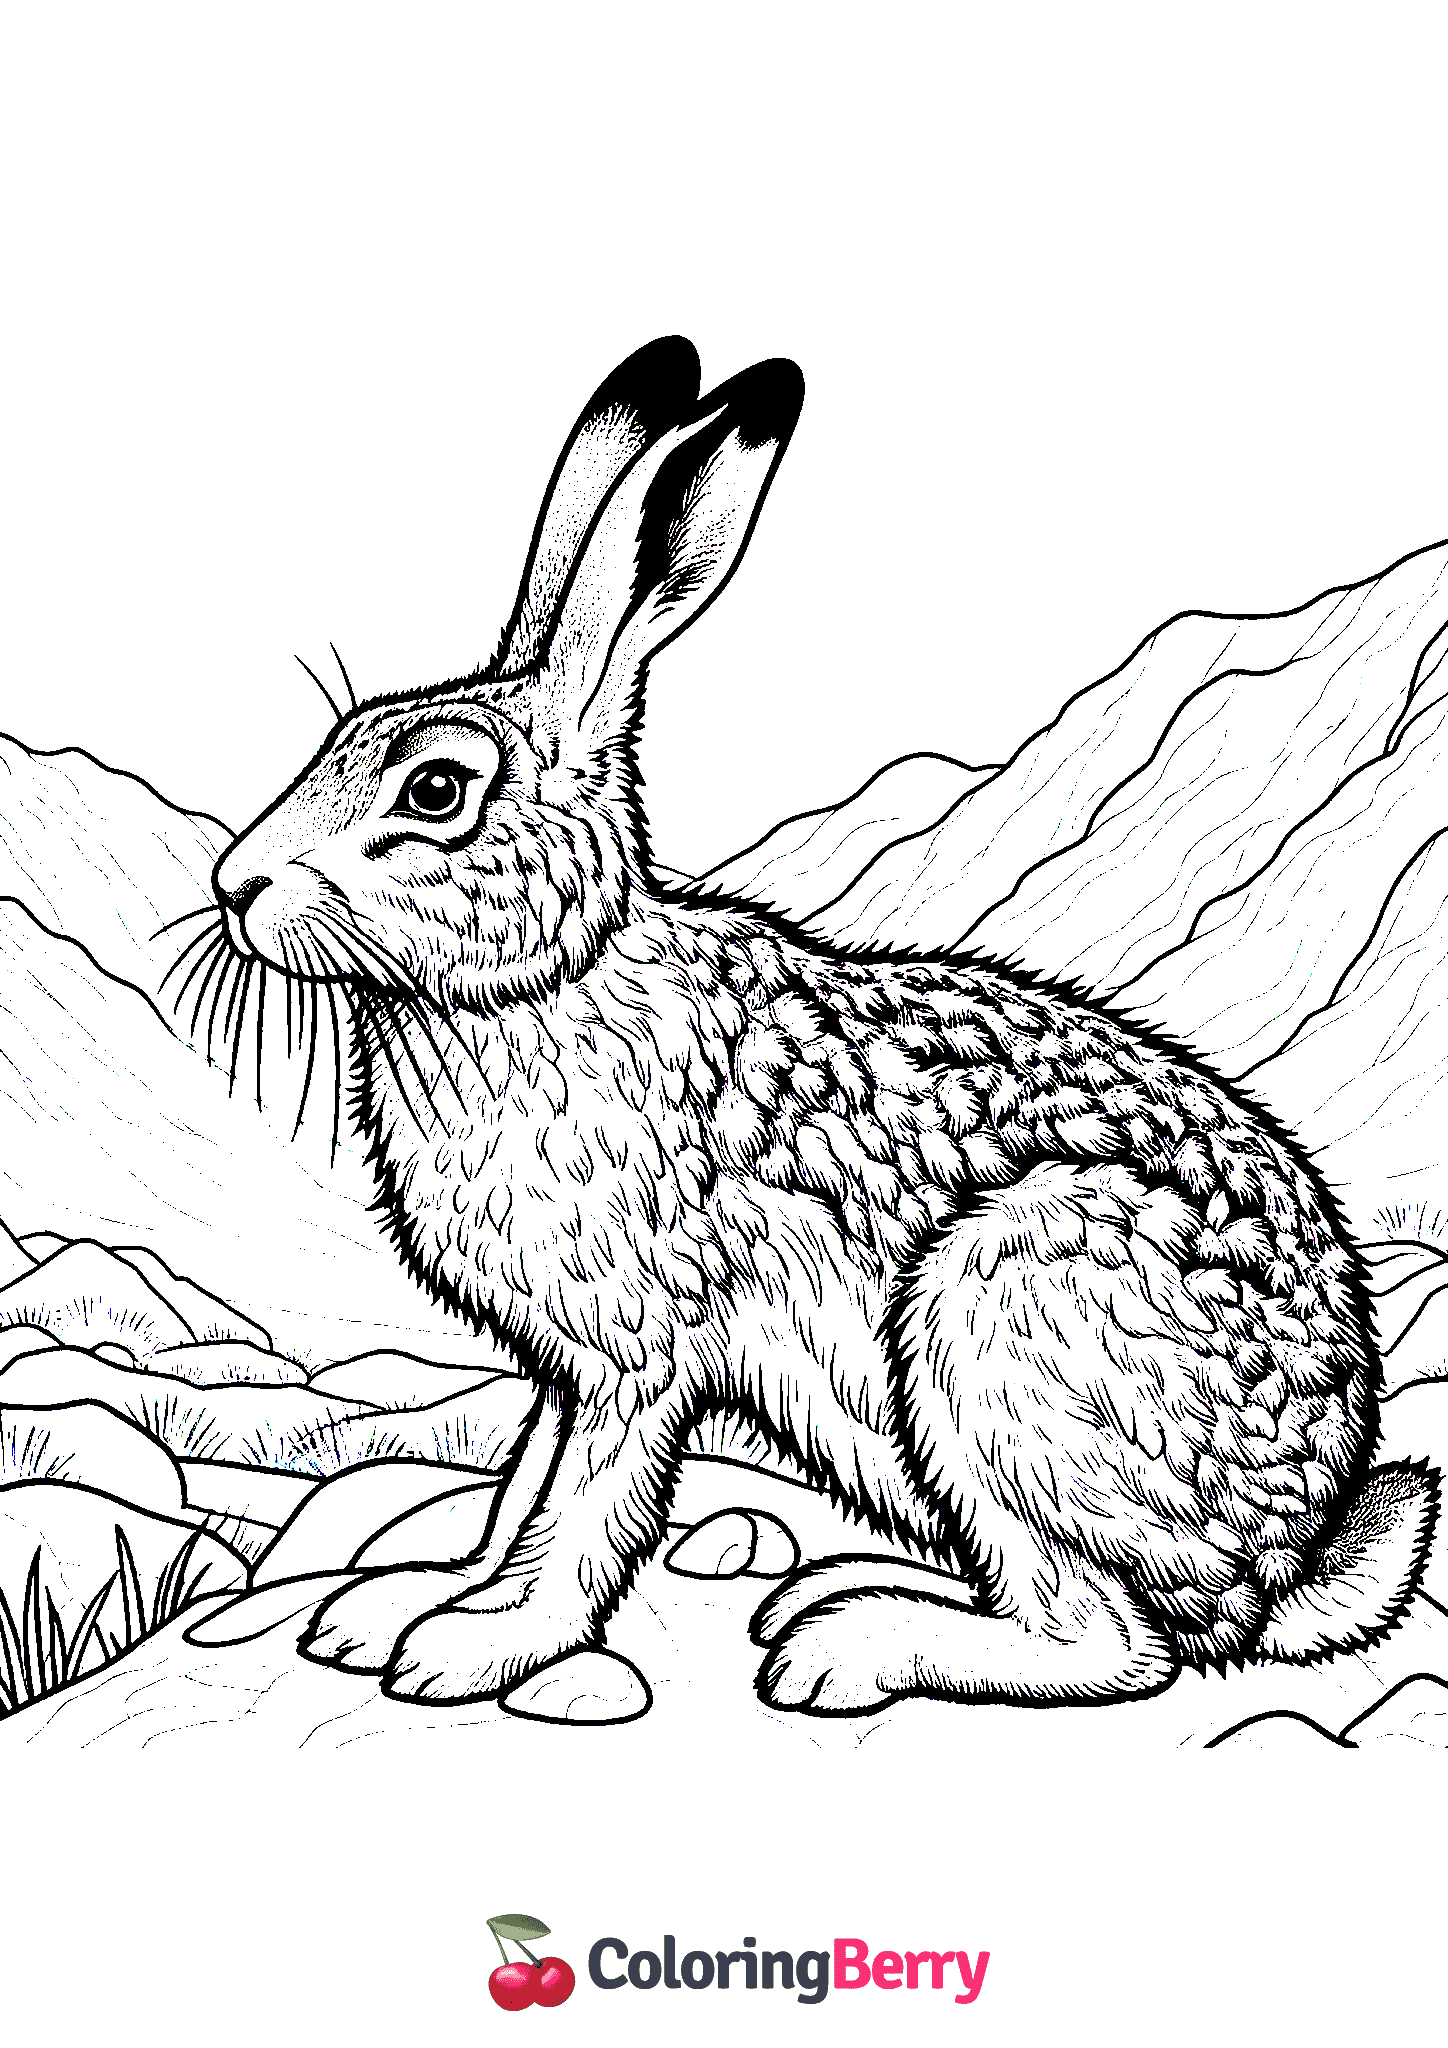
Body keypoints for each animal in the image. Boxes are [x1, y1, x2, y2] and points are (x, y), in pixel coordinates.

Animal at [209, 336, 1439, 1714]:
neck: (551, 980)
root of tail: (1290, 1551)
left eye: (433, 790)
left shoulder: (640, 1349)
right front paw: (398, 1605)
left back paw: (844, 1640)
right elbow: (520, 1487)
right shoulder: (563, 1367)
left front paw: (472, 1646)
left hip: (990, 1327)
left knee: (1110, 1646)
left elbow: (584, 1512)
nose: (235, 882)